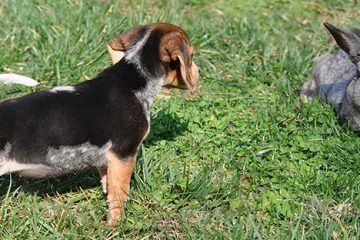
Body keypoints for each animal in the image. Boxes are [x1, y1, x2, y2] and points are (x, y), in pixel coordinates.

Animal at [0, 22, 200, 225]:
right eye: (191, 56)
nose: (199, 73)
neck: (134, 76)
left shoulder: (108, 161)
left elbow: (108, 184)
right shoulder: (124, 154)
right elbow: (119, 195)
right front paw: (116, 225)